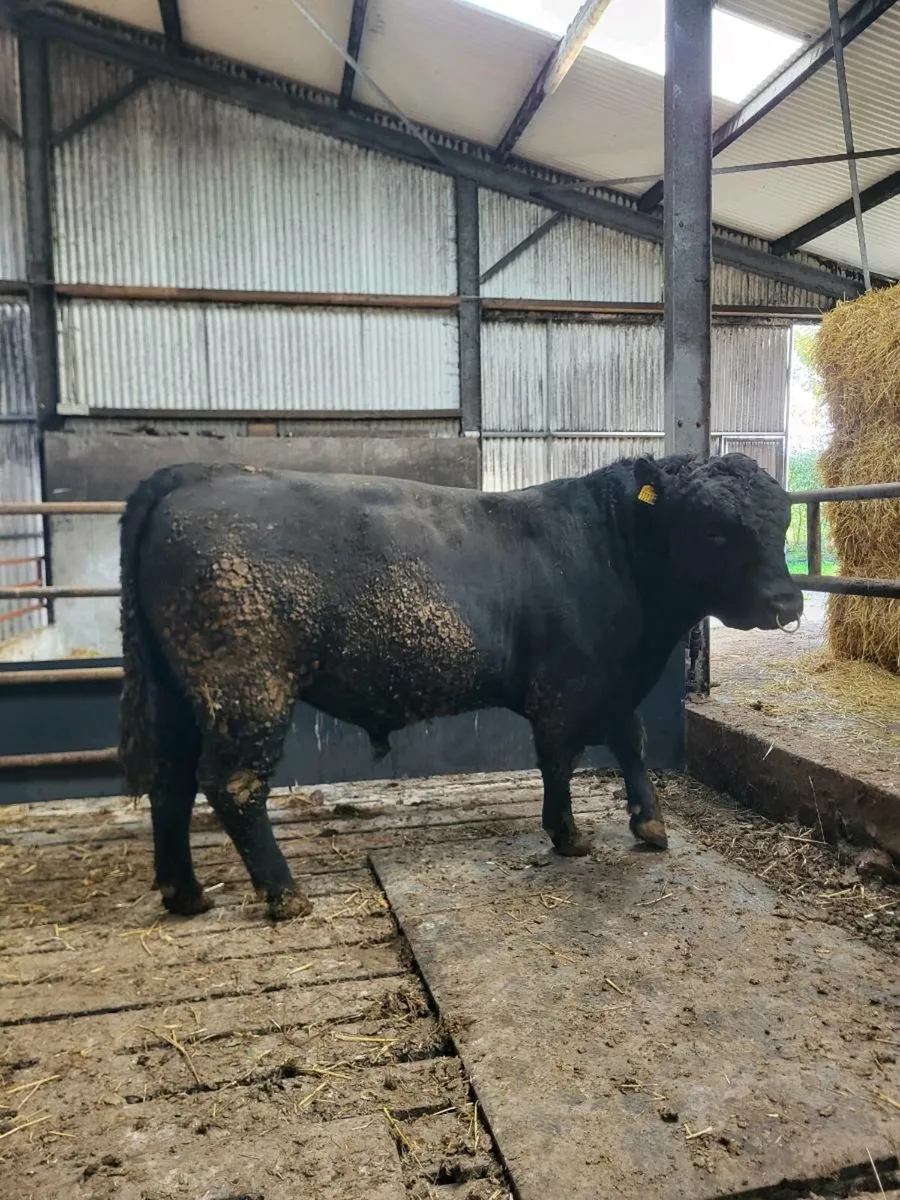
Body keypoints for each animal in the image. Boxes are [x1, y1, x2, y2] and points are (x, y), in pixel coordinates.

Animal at [119, 453, 802, 921]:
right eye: (714, 529)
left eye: (784, 517)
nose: (788, 602)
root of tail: (195, 474)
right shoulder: (565, 687)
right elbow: (560, 759)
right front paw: (569, 836)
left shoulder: (611, 682)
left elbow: (630, 744)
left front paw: (649, 826)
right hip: (248, 688)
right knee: (233, 785)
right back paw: (284, 893)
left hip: (179, 695)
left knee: (171, 780)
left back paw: (186, 893)